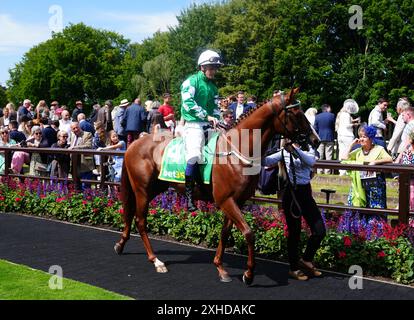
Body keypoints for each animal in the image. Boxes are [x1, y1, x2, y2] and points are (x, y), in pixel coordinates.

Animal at [114, 88, 320, 284]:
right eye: (296, 113)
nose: (315, 140)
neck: (236, 152)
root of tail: (134, 144)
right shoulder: (225, 200)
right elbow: (249, 233)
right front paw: (249, 274)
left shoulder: (236, 200)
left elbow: (225, 232)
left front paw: (220, 267)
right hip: (142, 190)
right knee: (140, 221)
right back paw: (156, 260)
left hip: (156, 188)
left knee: (130, 213)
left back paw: (121, 244)